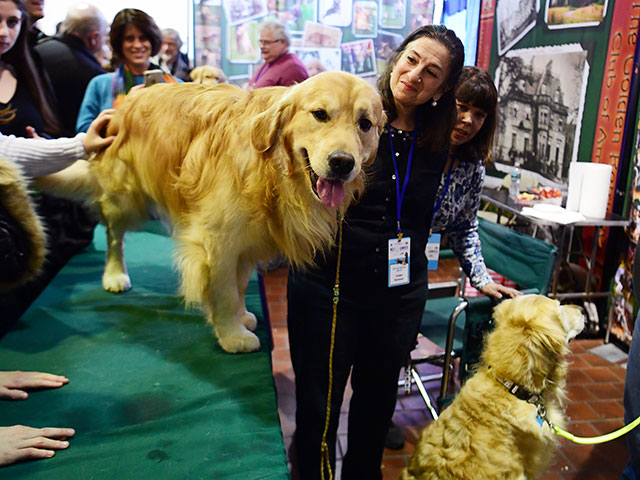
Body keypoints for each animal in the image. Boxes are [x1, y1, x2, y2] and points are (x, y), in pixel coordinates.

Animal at [37, 73, 384, 354]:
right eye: (320, 114)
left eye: (365, 124)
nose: (343, 163)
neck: (271, 170)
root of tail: (127, 100)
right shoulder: (217, 242)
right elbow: (225, 291)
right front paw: (232, 335)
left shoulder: (244, 243)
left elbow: (239, 285)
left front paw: (241, 317)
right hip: (125, 198)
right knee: (114, 236)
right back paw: (114, 274)